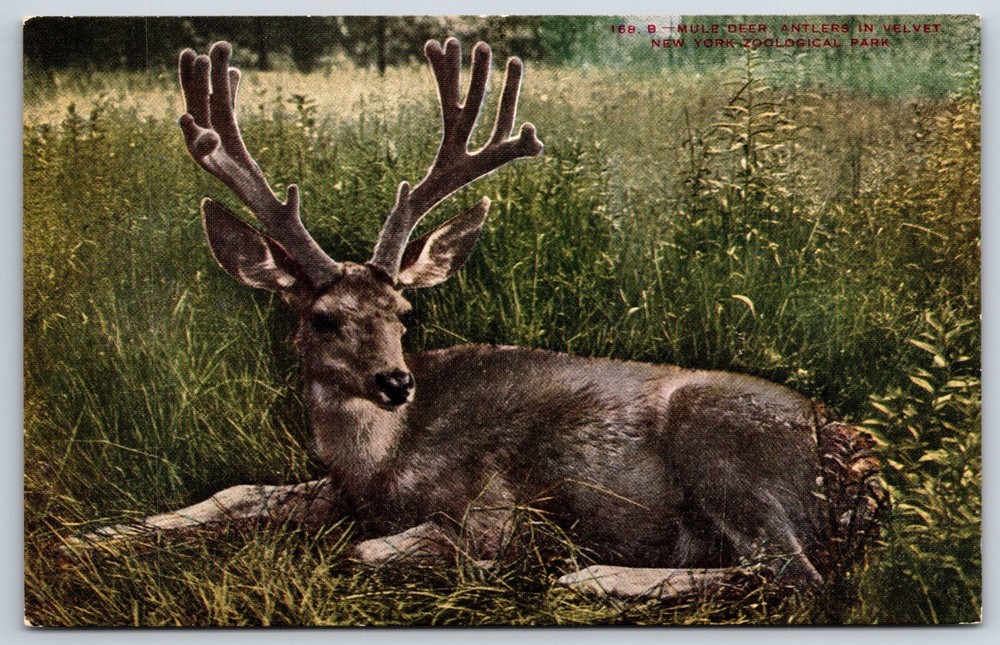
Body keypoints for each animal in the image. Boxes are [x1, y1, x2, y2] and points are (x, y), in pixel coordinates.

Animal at [69, 38, 887, 602]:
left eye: (404, 311)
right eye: (325, 318)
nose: (395, 381)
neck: (383, 462)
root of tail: (867, 475)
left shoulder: (496, 505)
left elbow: (374, 548)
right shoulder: (334, 486)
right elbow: (234, 493)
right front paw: (88, 534)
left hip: (727, 449)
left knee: (796, 576)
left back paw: (595, 578)